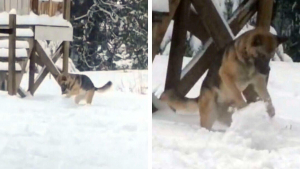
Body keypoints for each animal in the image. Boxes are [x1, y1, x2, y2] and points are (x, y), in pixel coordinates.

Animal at [161, 28, 290, 129]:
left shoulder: (259, 82)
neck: (247, 61)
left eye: (271, 56)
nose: (267, 70)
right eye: (262, 55)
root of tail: (199, 97)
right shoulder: (226, 75)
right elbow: (238, 94)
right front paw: (245, 107)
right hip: (209, 114)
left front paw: (271, 111)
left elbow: (267, 97)